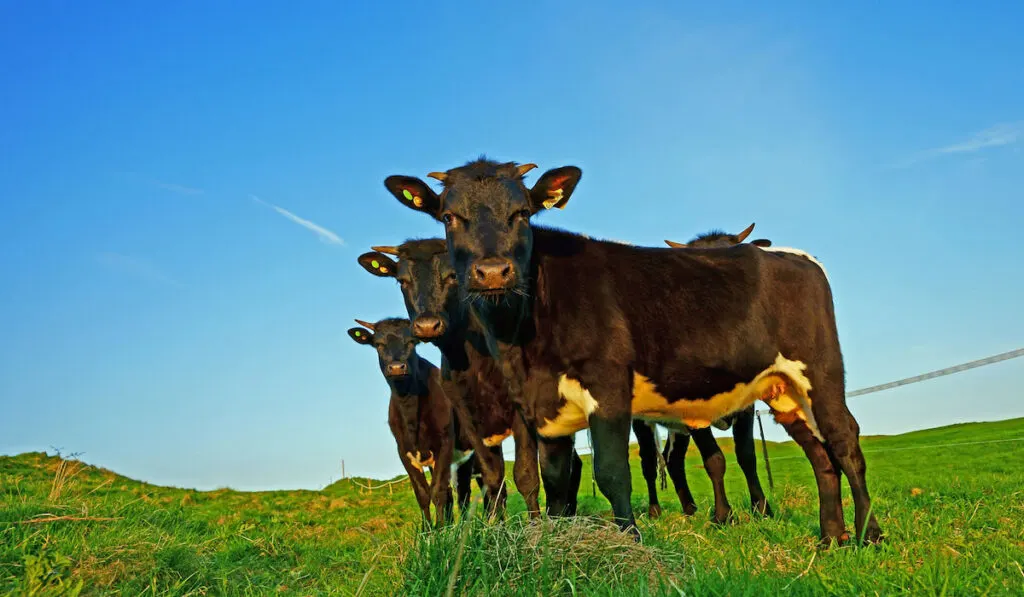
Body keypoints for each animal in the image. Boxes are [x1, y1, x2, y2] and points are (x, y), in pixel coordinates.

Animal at [344, 317, 471, 528]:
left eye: (412, 342)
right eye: (379, 344)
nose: (397, 367)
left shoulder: (445, 443)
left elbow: (438, 491)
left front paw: (441, 531)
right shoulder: (404, 451)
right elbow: (423, 493)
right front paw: (429, 531)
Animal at [358, 240, 585, 520]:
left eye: (453, 275)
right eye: (402, 280)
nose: (427, 325)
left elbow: (525, 475)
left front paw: (535, 526)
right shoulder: (466, 424)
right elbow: (491, 479)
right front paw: (494, 527)